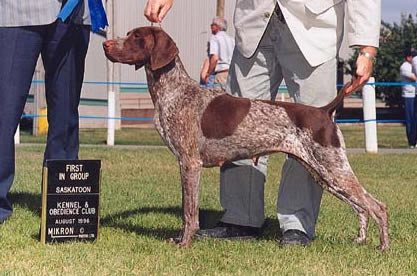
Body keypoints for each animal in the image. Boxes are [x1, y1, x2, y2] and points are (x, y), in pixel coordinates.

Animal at [102, 26, 388, 250]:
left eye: (137, 36)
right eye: (129, 34)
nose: (105, 44)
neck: (174, 90)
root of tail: (323, 110)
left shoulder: (189, 163)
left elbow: (189, 212)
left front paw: (185, 242)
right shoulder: (186, 163)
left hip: (333, 168)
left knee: (378, 206)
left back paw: (383, 247)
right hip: (324, 174)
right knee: (361, 207)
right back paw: (360, 240)